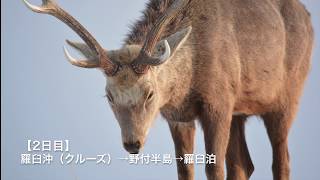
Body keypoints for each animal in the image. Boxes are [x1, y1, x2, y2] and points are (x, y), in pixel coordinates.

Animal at [23, 0, 314, 179]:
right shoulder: (179, 116)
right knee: (244, 164)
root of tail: (308, 16)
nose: (132, 144)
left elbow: (215, 169)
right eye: (109, 96)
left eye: (150, 93)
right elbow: (185, 171)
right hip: (240, 113)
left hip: (289, 95)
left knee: (282, 162)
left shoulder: (219, 102)